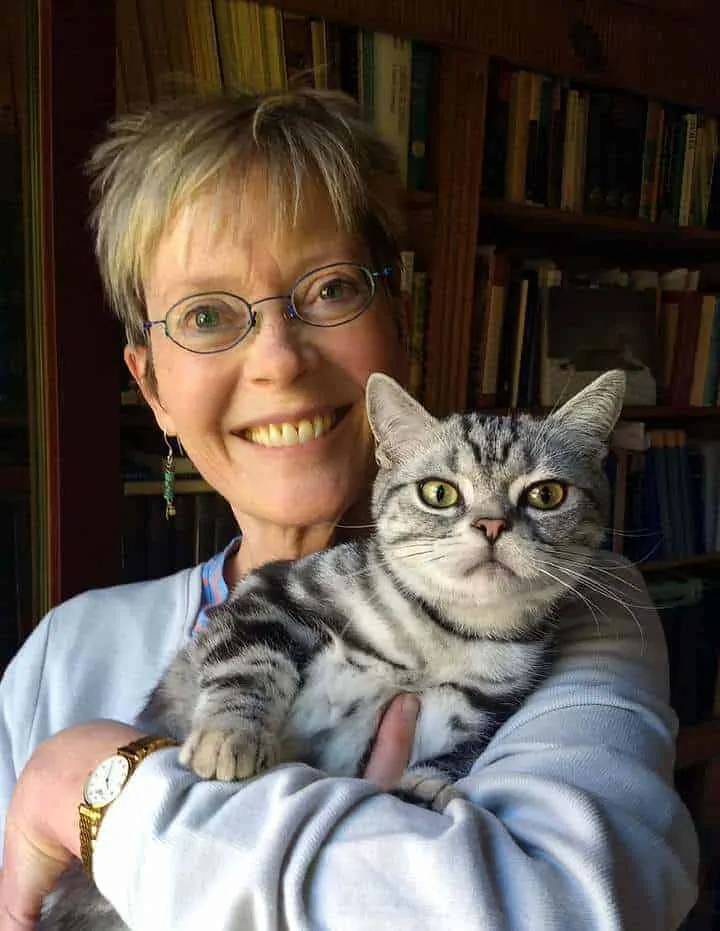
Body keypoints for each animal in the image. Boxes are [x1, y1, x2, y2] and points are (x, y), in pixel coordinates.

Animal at [40, 368, 624, 928]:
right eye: (439, 493)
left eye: (546, 495)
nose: (492, 523)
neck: (442, 636)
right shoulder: (271, 594)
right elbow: (250, 663)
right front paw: (231, 734)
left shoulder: (474, 707)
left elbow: (452, 755)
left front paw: (425, 788)